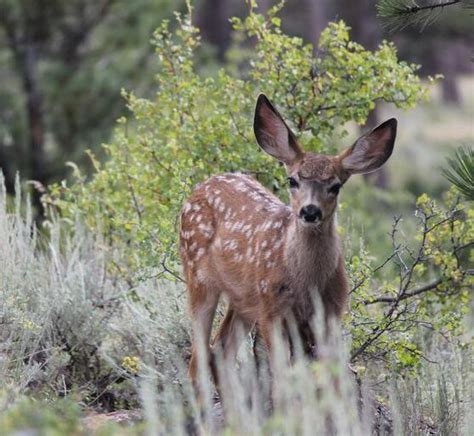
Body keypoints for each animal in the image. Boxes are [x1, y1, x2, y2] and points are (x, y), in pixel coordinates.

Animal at [179, 93, 396, 390]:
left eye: (335, 186)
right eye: (292, 180)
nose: (310, 211)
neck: (306, 282)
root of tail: (201, 187)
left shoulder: (329, 314)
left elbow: (327, 379)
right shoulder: (272, 309)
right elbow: (283, 380)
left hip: (243, 300)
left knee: (220, 351)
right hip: (199, 277)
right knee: (197, 360)